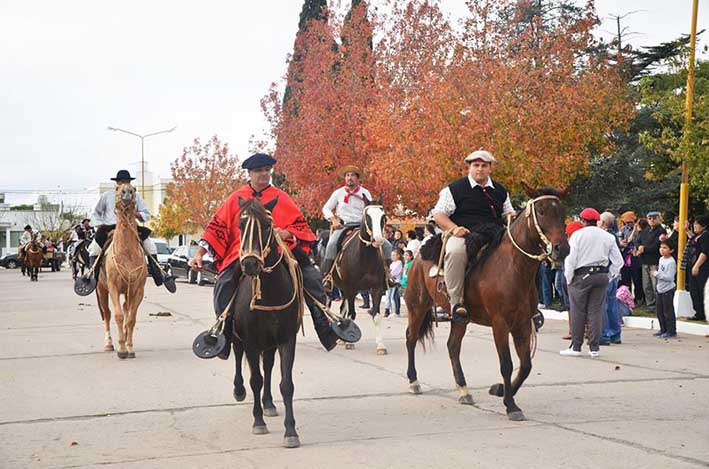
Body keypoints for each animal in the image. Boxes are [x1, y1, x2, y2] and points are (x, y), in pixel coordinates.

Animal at [406, 185, 568, 418]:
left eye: (562, 212)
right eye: (542, 211)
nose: (561, 249)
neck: (513, 267)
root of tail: (419, 256)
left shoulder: (522, 323)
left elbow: (526, 365)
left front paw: (500, 390)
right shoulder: (500, 323)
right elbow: (507, 364)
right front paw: (511, 405)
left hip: (459, 318)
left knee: (453, 346)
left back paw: (463, 390)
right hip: (417, 306)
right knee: (411, 339)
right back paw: (414, 381)